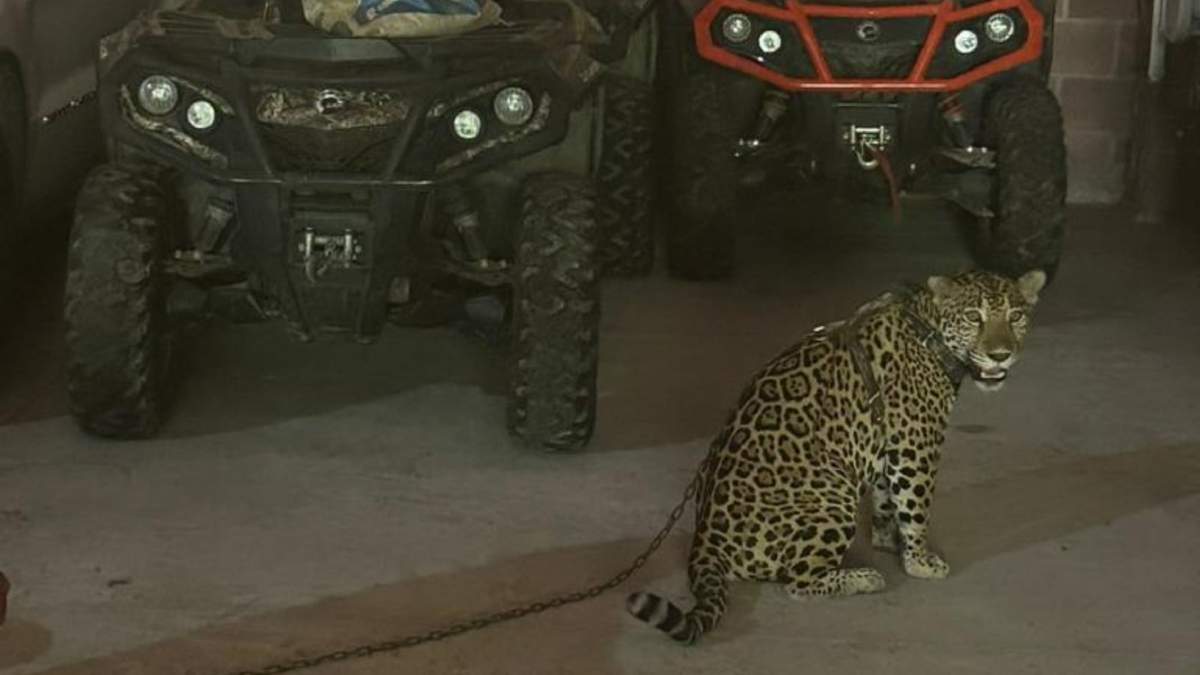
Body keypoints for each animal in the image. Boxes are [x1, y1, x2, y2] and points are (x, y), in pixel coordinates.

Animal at [626, 269, 1047, 644]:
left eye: (1016, 316)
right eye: (974, 317)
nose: (1000, 355)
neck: (929, 329)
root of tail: (704, 540)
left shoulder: (887, 444)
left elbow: (887, 500)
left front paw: (887, 541)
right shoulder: (916, 444)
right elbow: (916, 506)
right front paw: (920, 561)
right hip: (832, 498)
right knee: (797, 583)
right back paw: (863, 578)